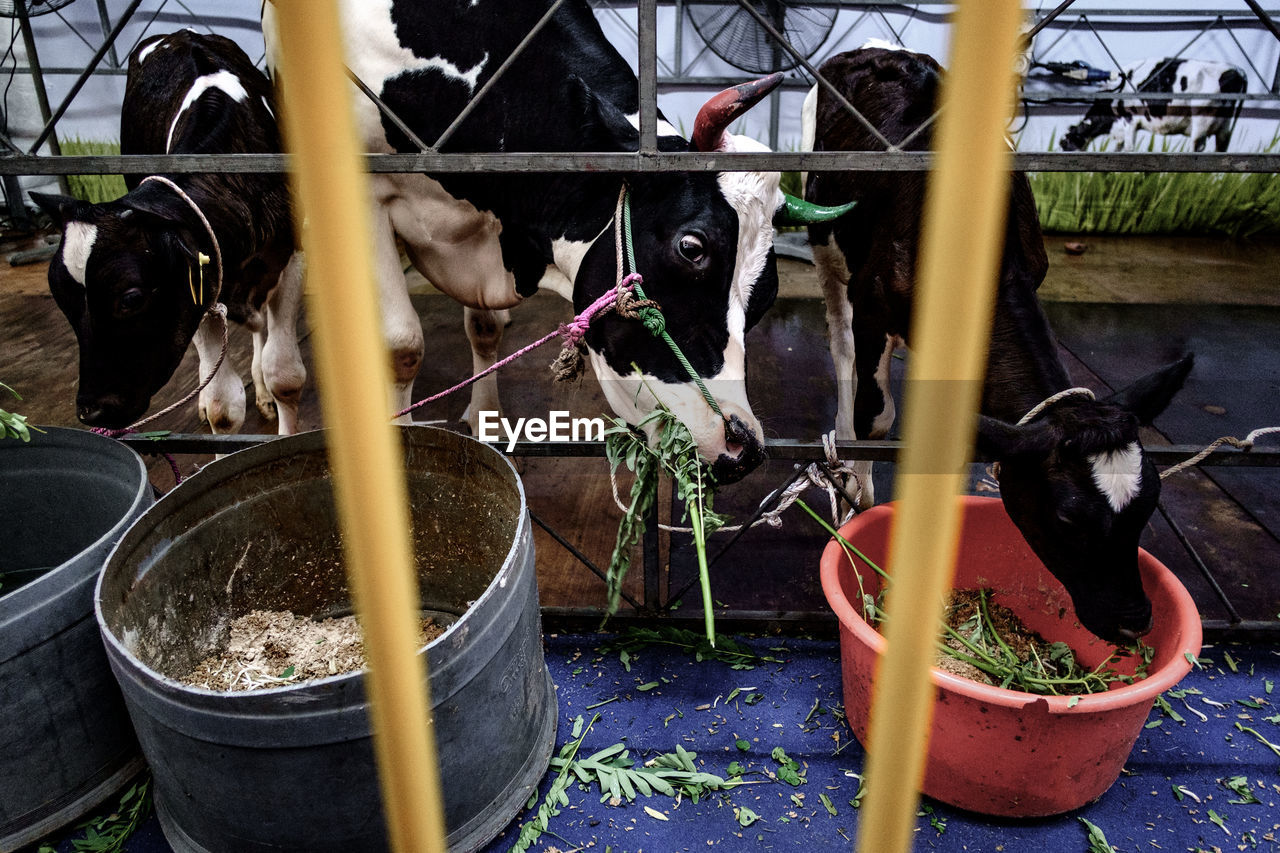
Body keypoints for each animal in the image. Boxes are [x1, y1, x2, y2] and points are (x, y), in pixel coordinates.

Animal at [33, 30, 304, 435]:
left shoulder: (290, 258)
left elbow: (284, 376)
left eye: (131, 298)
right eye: (61, 300)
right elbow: (223, 406)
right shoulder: (202, 289)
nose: (92, 412)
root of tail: (180, 34)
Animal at [259, 0, 844, 481]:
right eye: (692, 248)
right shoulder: (366, 193)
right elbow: (402, 346)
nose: (742, 447)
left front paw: (486, 420)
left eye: (766, 293)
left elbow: (486, 328)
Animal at [803, 46, 1192, 640]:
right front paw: (859, 503)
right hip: (825, 235)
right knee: (841, 342)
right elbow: (875, 416)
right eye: (1067, 517)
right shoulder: (871, 307)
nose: (1134, 623)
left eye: (1150, 503)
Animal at [1059, 57, 1249, 153]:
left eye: (1067, 141)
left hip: (1202, 120)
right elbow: (1118, 148)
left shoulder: (1129, 120)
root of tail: (1238, 70)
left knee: (1195, 149)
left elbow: (1128, 148)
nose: (1062, 145)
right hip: (1224, 126)